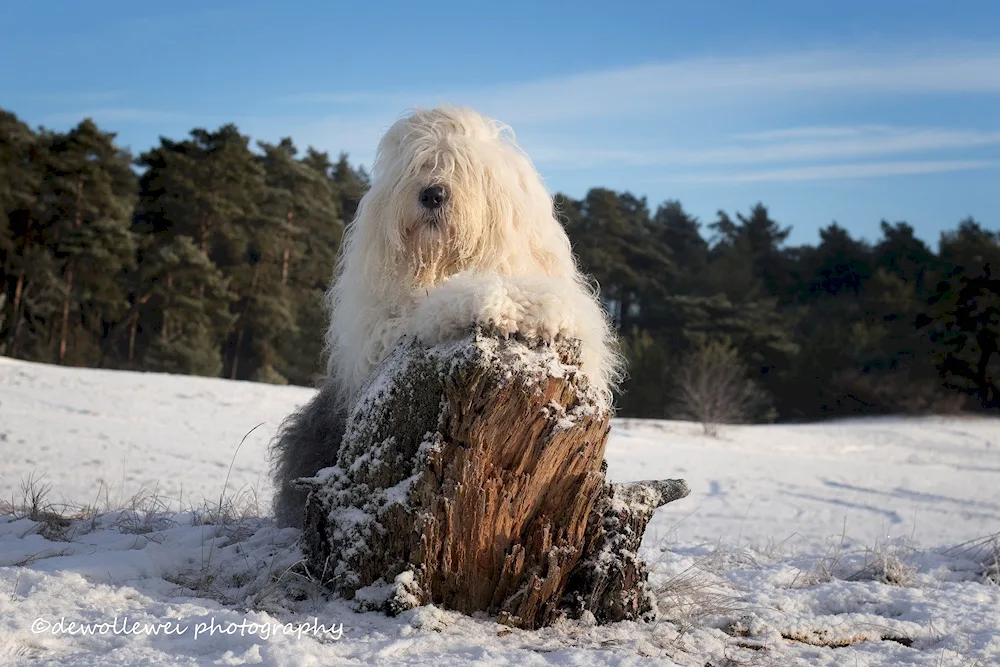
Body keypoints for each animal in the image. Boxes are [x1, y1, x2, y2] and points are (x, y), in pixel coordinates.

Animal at [270, 107, 620, 528]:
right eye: (419, 165)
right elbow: (432, 307)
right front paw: (491, 301)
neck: (443, 265)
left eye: (464, 168)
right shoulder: (380, 334)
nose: (432, 194)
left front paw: (539, 306)